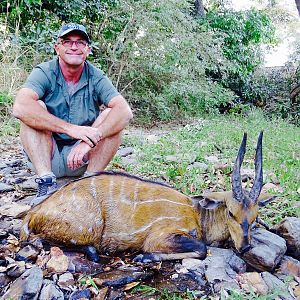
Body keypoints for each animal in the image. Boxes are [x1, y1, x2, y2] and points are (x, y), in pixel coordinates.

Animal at [19, 131, 276, 260]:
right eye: (231, 212)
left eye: (255, 217)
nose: (245, 247)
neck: (198, 215)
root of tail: (34, 212)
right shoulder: (160, 237)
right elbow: (202, 249)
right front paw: (144, 258)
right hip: (87, 228)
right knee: (41, 240)